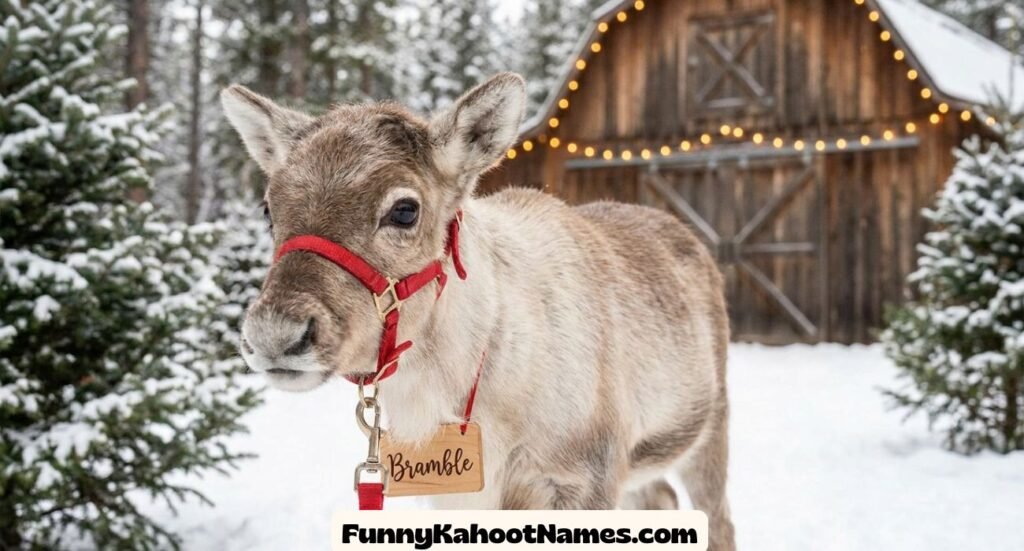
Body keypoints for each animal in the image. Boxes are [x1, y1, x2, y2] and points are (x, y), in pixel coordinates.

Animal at [222, 72, 736, 550]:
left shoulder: (583, 480)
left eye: (405, 209)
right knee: (663, 498)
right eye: (268, 209)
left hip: (709, 431)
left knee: (718, 518)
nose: (274, 334)